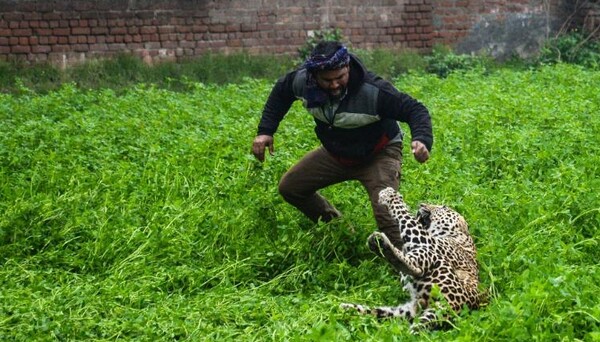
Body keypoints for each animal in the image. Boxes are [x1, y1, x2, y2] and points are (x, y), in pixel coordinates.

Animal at [342, 187, 482, 332]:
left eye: (443, 207)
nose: (422, 204)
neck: (461, 236)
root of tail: (453, 307)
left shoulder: (426, 240)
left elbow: (406, 215)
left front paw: (390, 195)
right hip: (405, 312)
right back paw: (347, 308)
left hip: (436, 262)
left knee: (416, 268)